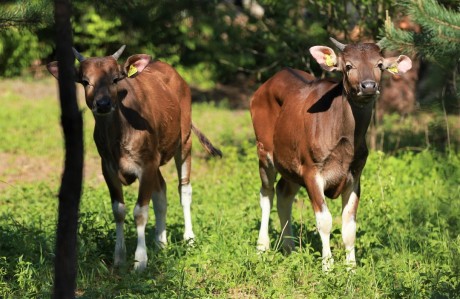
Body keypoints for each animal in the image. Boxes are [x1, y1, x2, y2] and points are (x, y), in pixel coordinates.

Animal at [46, 46, 221, 272]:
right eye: (85, 81)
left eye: (115, 79)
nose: (103, 104)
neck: (118, 138)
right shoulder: (108, 168)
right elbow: (119, 210)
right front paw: (119, 258)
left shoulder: (146, 166)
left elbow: (140, 212)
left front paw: (140, 261)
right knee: (161, 191)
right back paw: (160, 242)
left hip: (185, 140)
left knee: (184, 189)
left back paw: (189, 238)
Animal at [250, 38, 412, 272]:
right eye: (348, 66)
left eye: (380, 64)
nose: (368, 86)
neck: (344, 141)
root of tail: (263, 87)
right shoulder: (312, 171)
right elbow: (324, 221)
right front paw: (328, 266)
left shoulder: (354, 177)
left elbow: (349, 226)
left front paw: (351, 268)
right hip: (264, 152)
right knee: (267, 194)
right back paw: (262, 247)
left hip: (290, 164)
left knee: (283, 194)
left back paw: (289, 247)